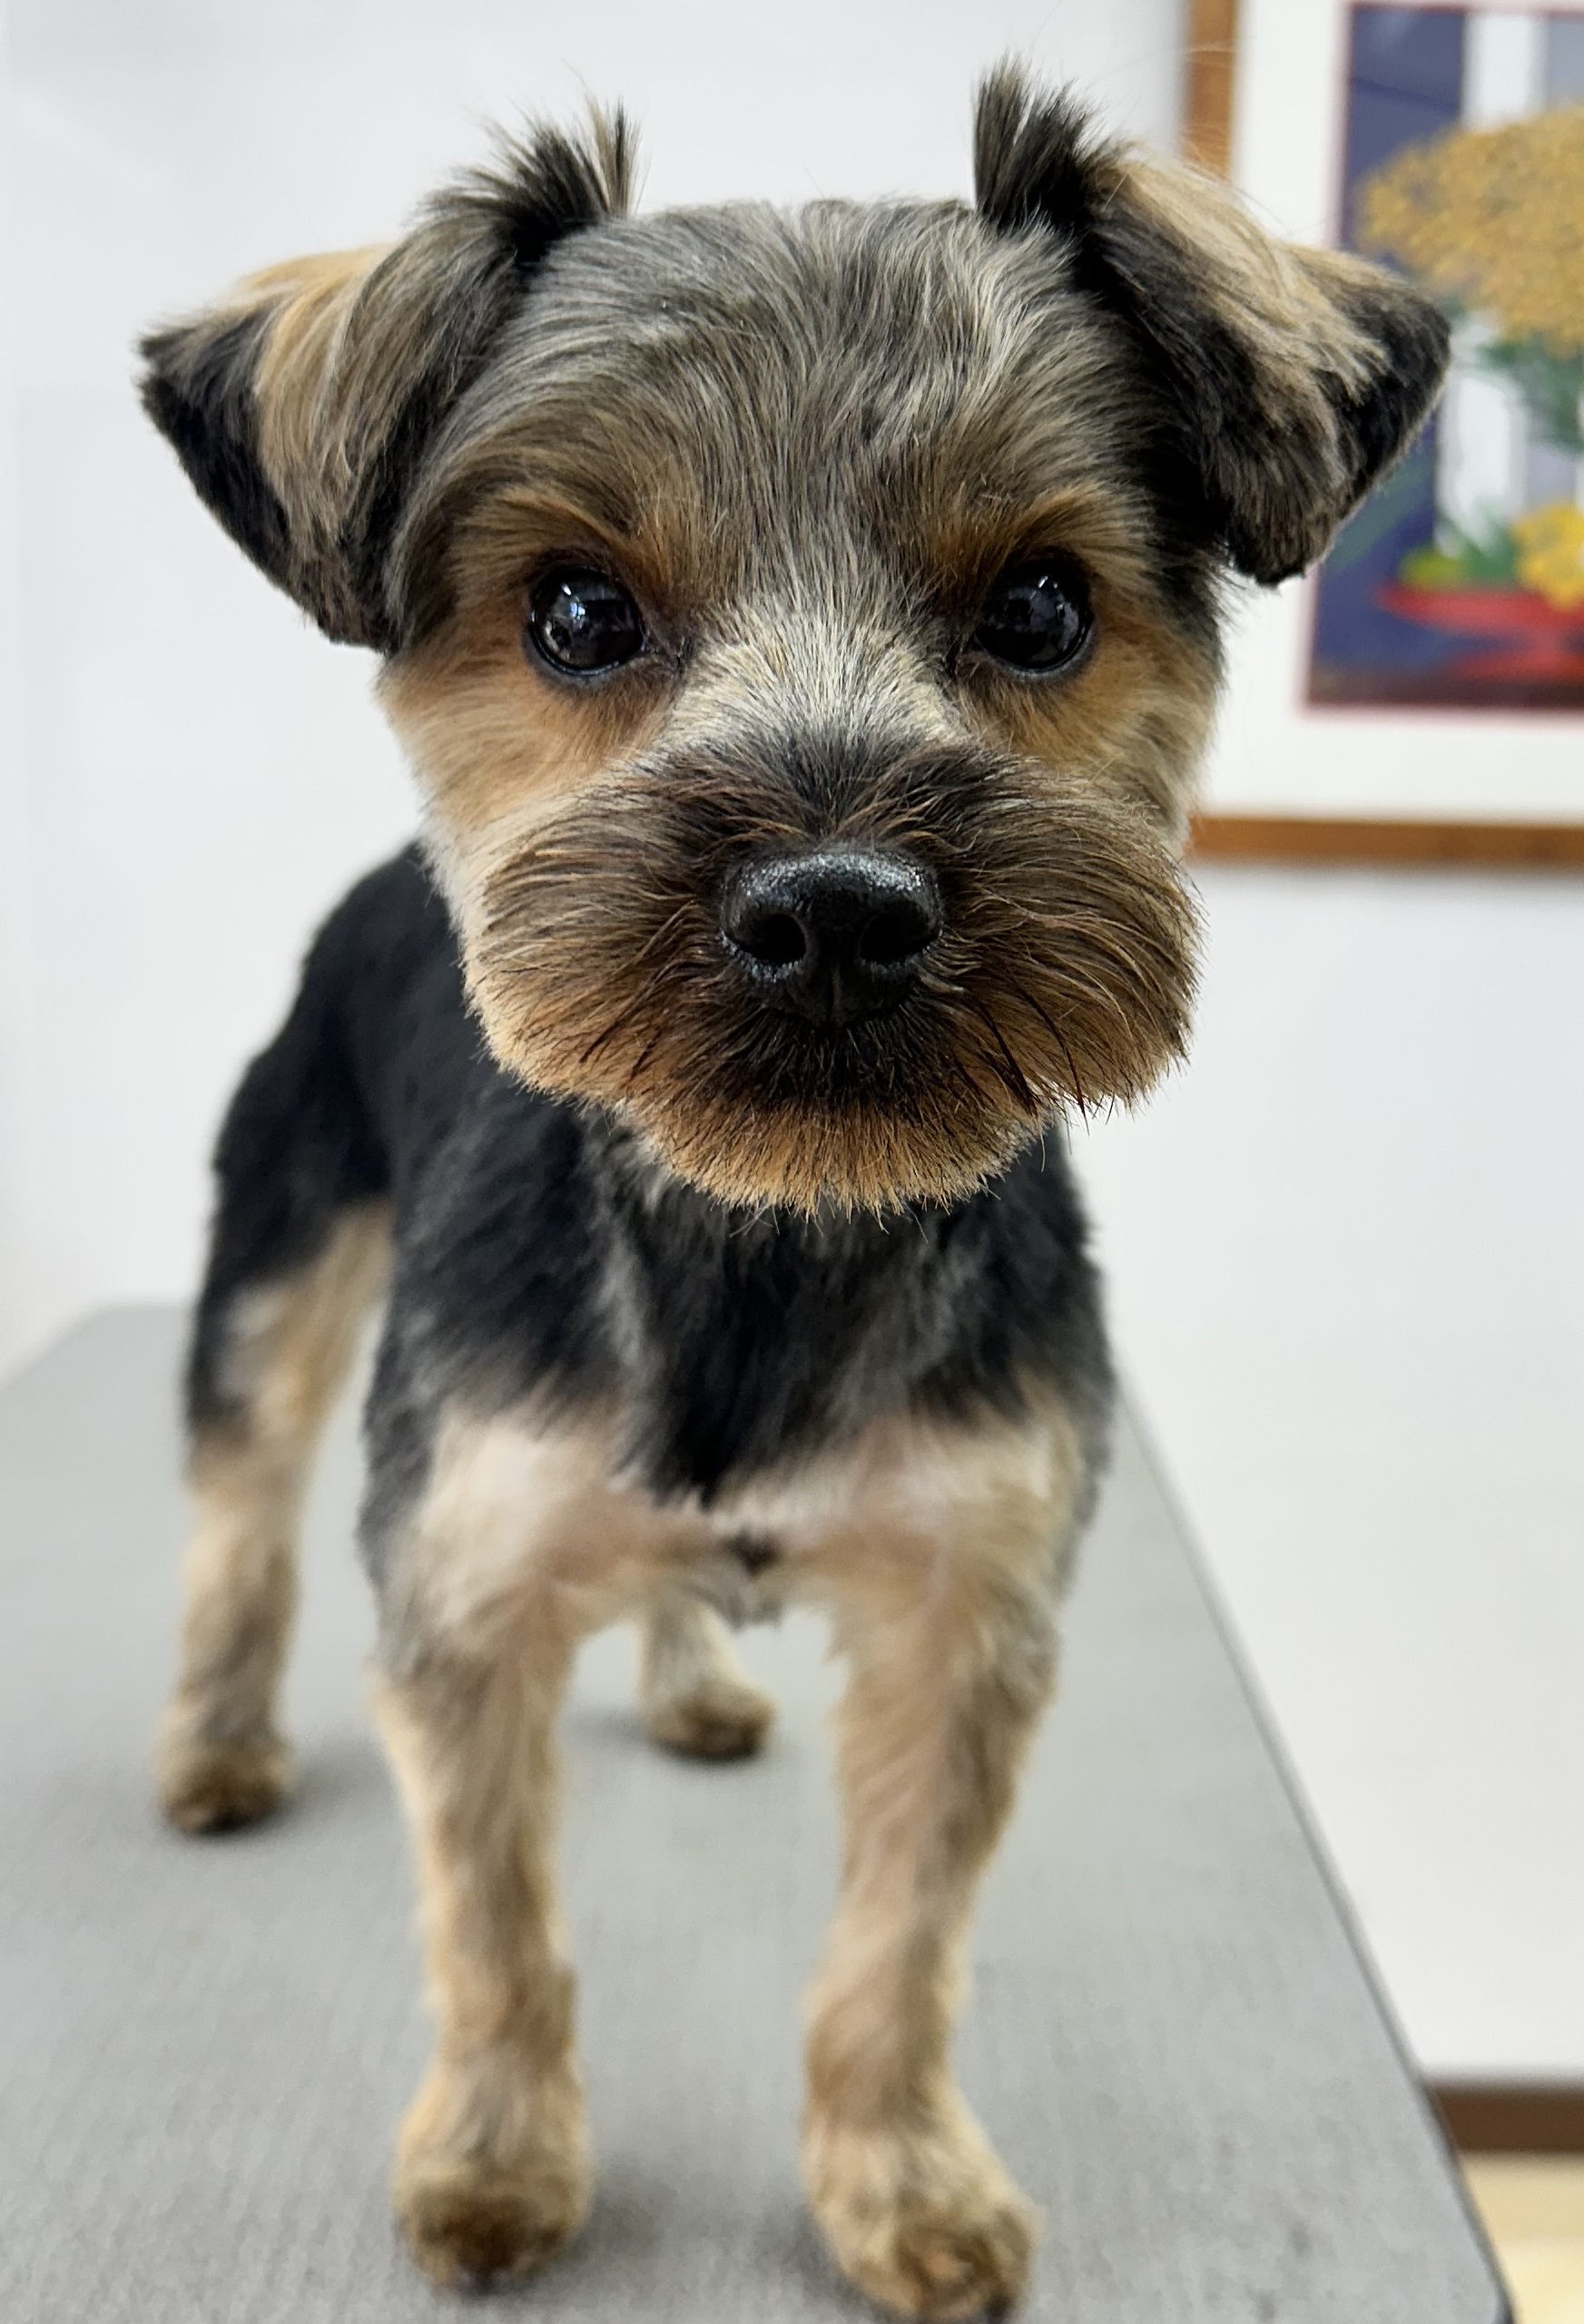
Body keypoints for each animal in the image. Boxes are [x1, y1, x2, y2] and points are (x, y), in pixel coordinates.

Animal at [139, 65, 1447, 2321]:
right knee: (239, 1504)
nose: (832, 906)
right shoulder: (465, 1572)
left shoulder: (967, 1607)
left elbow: (893, 1949)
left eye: (1038, 606)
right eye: (576, 611)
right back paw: (219, 1733)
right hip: (280, 1237)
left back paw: (691, 1677)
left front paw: (898, 2179)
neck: (760, 1226)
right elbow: (492, 1926)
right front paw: (496, 2157)